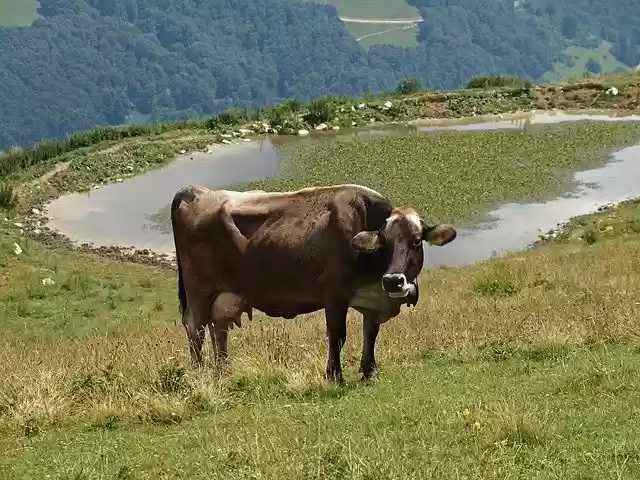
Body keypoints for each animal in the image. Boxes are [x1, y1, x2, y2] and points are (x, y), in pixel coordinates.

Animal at [170, 183, 457, 382]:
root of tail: (195, 190)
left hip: (223, 296)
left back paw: (223, 372)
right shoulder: (334, 295)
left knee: (218, 329)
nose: (393, 281)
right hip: (199, 292)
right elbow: (337, 336)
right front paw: (334, 376)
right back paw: (199, 375)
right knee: (195, 329)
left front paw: (369, 372)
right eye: (384, 241)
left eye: (417, 240)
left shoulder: (373, 298)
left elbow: (370, 333)